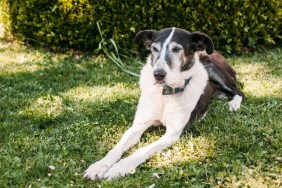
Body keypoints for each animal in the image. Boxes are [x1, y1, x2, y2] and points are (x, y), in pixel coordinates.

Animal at [82, 27, 243, 180]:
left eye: (177, 49)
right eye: (154, 48)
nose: (158, 74)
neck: (165, 94)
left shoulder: (173, 133)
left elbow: (143, 149)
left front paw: (121, 167)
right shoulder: (138, 125)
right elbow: (117, 147)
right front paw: (100, 165)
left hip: (215, 70)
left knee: (239, 90)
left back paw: (234, 104)